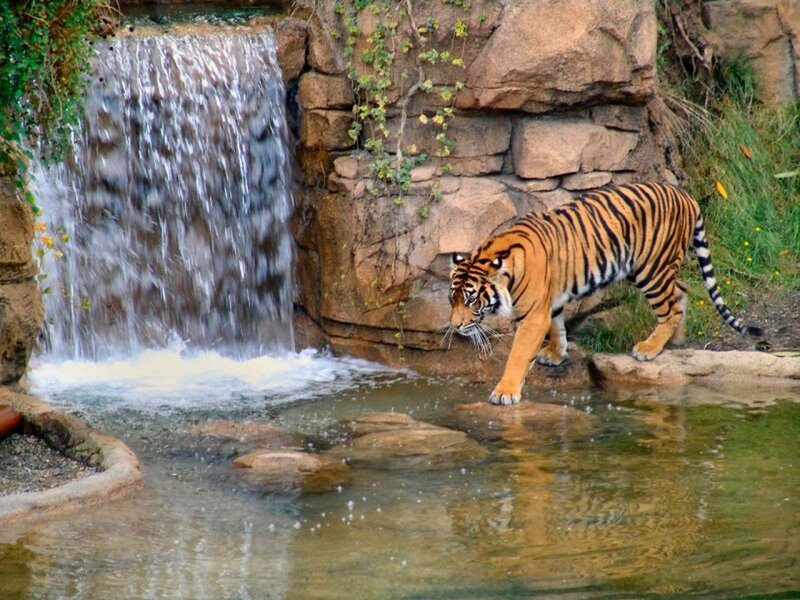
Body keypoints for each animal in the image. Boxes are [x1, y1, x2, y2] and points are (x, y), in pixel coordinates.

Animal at [448, 181, 764, 405]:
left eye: (472, 300)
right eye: (452, 300)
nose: (455, 326)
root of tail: (684, 195)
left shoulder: (533, 315)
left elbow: (518, 354)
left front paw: (505, 392)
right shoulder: (551, 300)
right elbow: (557, 326)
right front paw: (556, 353)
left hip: (650, 269)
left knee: (671, 308)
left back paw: (649, 348)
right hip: (657, 269)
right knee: (682, 291)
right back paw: (673, 339)